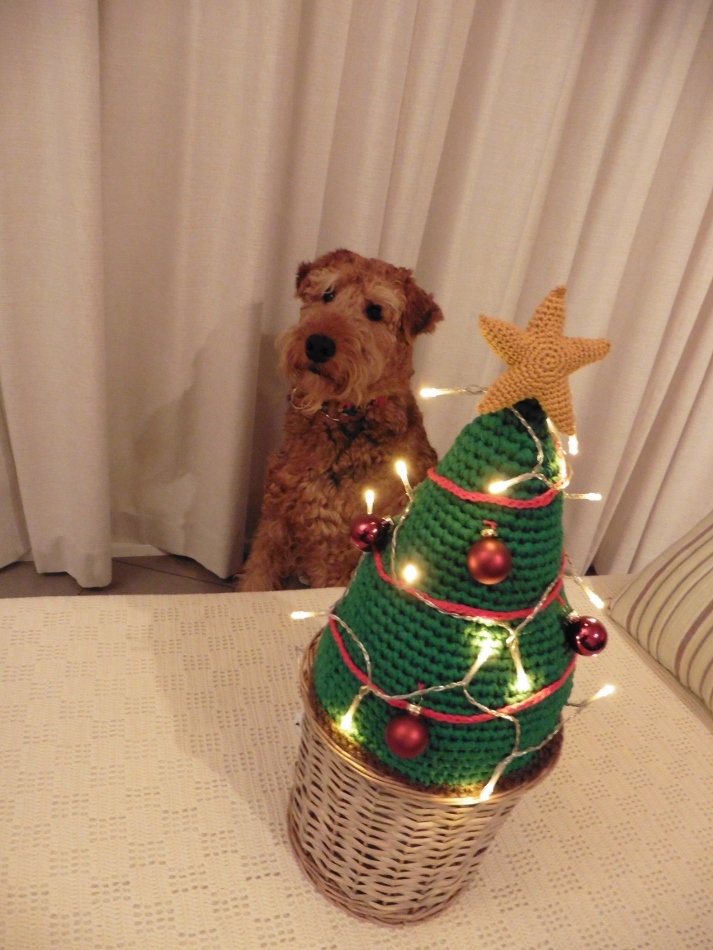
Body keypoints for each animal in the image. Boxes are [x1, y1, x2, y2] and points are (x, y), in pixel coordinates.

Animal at [237, 248, 443, 591]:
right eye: (328, 294)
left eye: (374, 310)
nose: (317, 344)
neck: (341, 416)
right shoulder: (274, 521)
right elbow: (255, 581)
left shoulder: (333, 555)